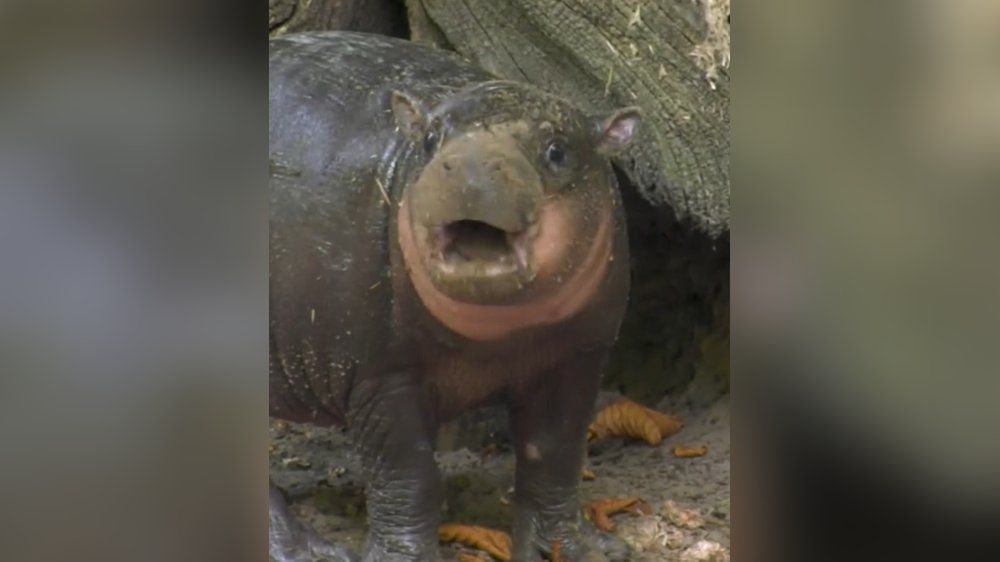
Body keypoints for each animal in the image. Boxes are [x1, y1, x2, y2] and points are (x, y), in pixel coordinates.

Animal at [269, 31, 641, 562]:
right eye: (429, 139)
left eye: (557, 149)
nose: (471, 163)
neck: (502, 333)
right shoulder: (379, 374)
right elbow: (409, 477)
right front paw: (400, 557)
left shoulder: (577, 355)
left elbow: (554, 457)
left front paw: (575, 550)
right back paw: (309, 550)